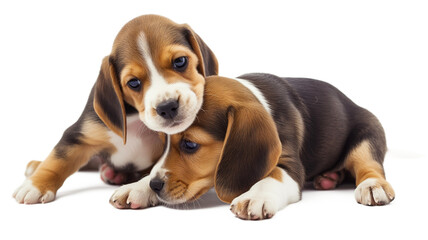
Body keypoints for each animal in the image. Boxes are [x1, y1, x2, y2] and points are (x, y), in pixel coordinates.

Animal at [11, 14, 219, 203]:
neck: (137, 122)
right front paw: (35, 185)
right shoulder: (81, 132)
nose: (167, 107)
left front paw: (138, 189)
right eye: (133, 83)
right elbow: (58, 159)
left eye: (180, 62)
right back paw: (36, 166)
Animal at [110, 72, 394, 219]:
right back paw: (329, 178)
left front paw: (255, 196)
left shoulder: (290, 165)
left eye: (190, 145)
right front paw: (138, 187)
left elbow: (273, 176)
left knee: (368, 164)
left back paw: (372, 185)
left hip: (366, 134)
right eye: (163, 143)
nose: (155, 185)